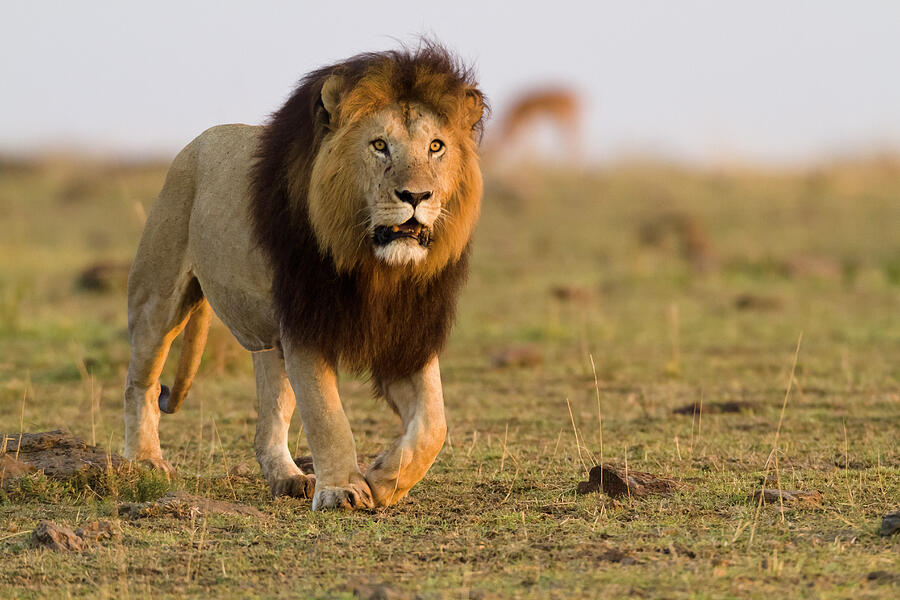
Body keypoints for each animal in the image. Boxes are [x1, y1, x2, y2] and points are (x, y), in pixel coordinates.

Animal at [124, 43, 488, 510]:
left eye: (436, 146)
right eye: (379, 145)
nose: (416, 195)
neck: (375, 267)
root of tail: (198, 142)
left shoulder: (407, 333)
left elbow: (433, 424)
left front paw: (383, 479)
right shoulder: (305, 324)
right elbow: (327, 415)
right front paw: (343, 491)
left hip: (270, 336)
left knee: (270, 415)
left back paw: (289, 478)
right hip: (157, 296)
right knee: (141, 382)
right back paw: (146, 461)